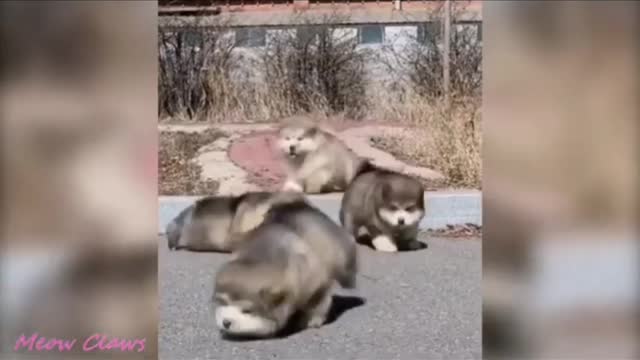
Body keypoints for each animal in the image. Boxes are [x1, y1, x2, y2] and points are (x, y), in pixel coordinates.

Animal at [212, 198, 358, 338]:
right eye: (223, 303)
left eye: (247, 311)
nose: (226, 322)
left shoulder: (316, 283)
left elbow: (319, 303)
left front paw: (312, 320)